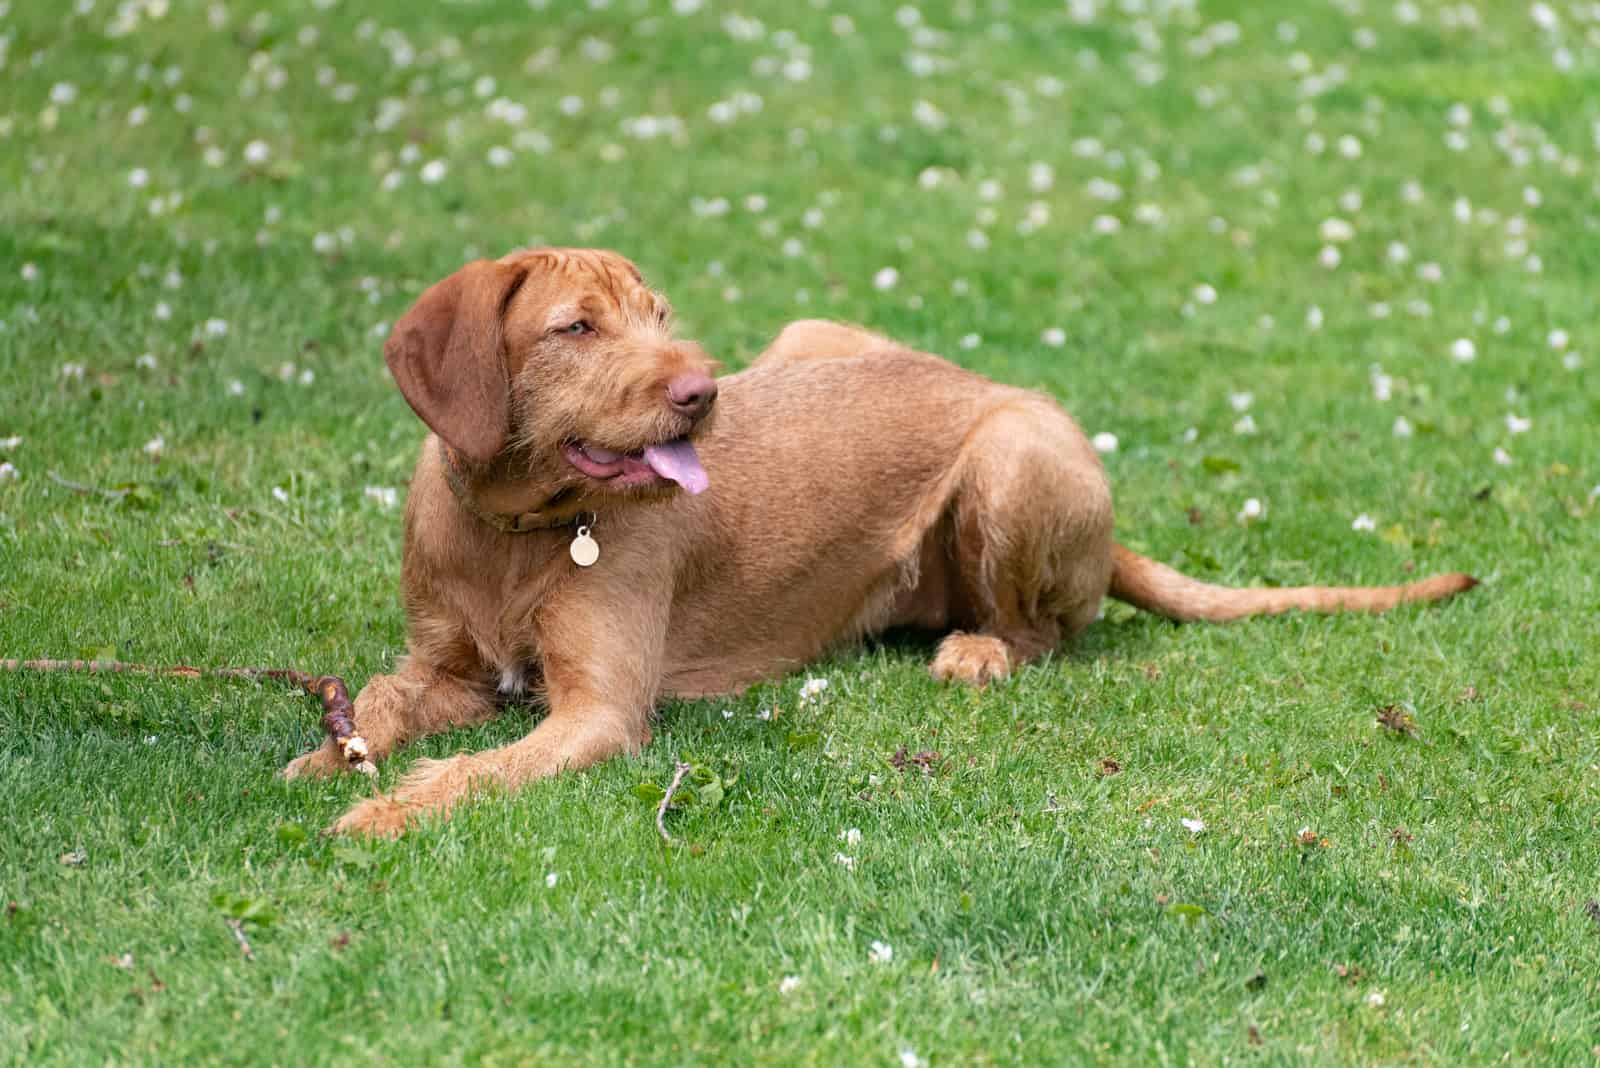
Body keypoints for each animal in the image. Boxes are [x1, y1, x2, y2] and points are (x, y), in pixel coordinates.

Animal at [284, 247, 1472, 831]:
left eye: (661, 319)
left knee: (1043, 632)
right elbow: (380, 698)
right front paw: (330, 754)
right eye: (576, 326)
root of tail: (982, 382)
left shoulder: (596, 715)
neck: (520, 530)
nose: (702, 393)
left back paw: (980, 650)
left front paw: (384, 813)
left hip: (1013, 456)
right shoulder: (449, 669)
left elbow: (476, 773)